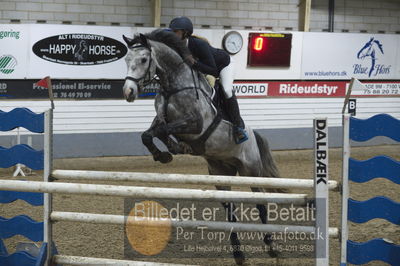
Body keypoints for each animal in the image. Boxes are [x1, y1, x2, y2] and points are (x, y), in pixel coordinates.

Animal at [122, 29, 282, 264]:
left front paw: (173, 149)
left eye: (143, 59)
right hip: (220, 173)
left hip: (250, 169)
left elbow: (162, 131)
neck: (173, 86)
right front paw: (166, 153)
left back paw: (271, 246)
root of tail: (253, 135)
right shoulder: (160, 119)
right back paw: (238, 253)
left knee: (260, 203)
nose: (129, 92)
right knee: (230, 210)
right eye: (126, 59)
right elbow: (149, 134)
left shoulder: (195, 124)